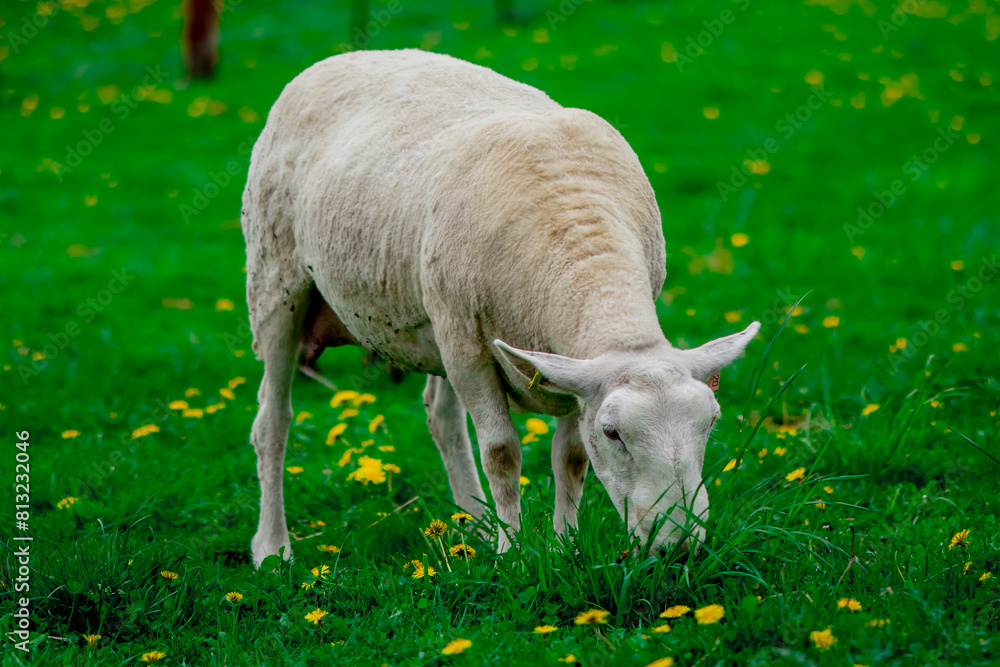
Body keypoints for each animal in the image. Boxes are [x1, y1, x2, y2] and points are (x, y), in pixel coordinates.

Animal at [241, 49, 759, 567]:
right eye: (613, 433)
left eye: (711, 422)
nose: (680, 547)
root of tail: (346, 56)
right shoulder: (469, 350)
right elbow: (501, 452)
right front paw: (512, 552)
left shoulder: (569, 365)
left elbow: (570, 458)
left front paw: (564, 546)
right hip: (276, 282)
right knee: (272, 421)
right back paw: (272, 548)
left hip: (431, 320)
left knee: (441, 417)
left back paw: (474, 524)